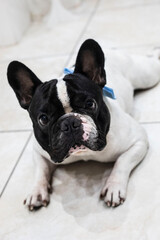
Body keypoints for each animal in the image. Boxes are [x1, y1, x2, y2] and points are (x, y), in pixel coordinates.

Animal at [7, 39, 160, 210]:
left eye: (90, 104)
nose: (69, 122)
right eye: (43, 119)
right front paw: (37, 191)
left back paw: (156, 51)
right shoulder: (40, 151)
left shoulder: (138, 141)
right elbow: (41, 170)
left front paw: (114, 187)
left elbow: (122, 162)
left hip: (148, 75)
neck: (83, 153)